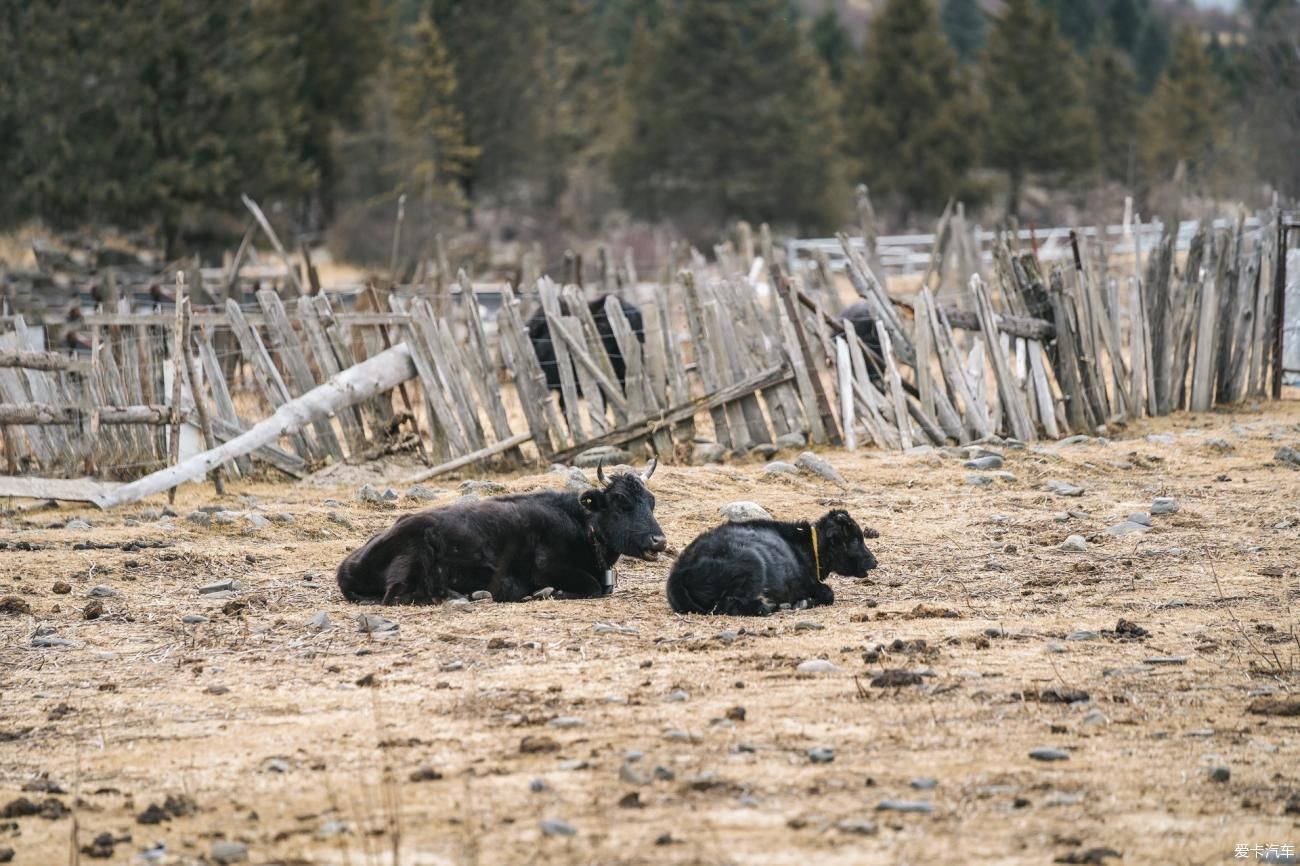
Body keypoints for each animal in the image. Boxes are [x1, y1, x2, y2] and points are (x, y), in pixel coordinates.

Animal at [340, 457, 665, 600]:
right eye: (621, 503)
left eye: (651, 501)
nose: (659, 540)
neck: (580, 525)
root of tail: (348, 565)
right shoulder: (548, 570)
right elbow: (591, 587)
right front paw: (550, 593)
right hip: (413, 560)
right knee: (396, 595)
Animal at [665, 507, 878, 613]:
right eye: (855, 540)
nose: (874, 561)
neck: (805, 546)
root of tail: (679, 571)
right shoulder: (807, 584)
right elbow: (828, 593)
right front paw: (803, 602)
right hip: (753, 563)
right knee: (729, 604)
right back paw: (771, 606)